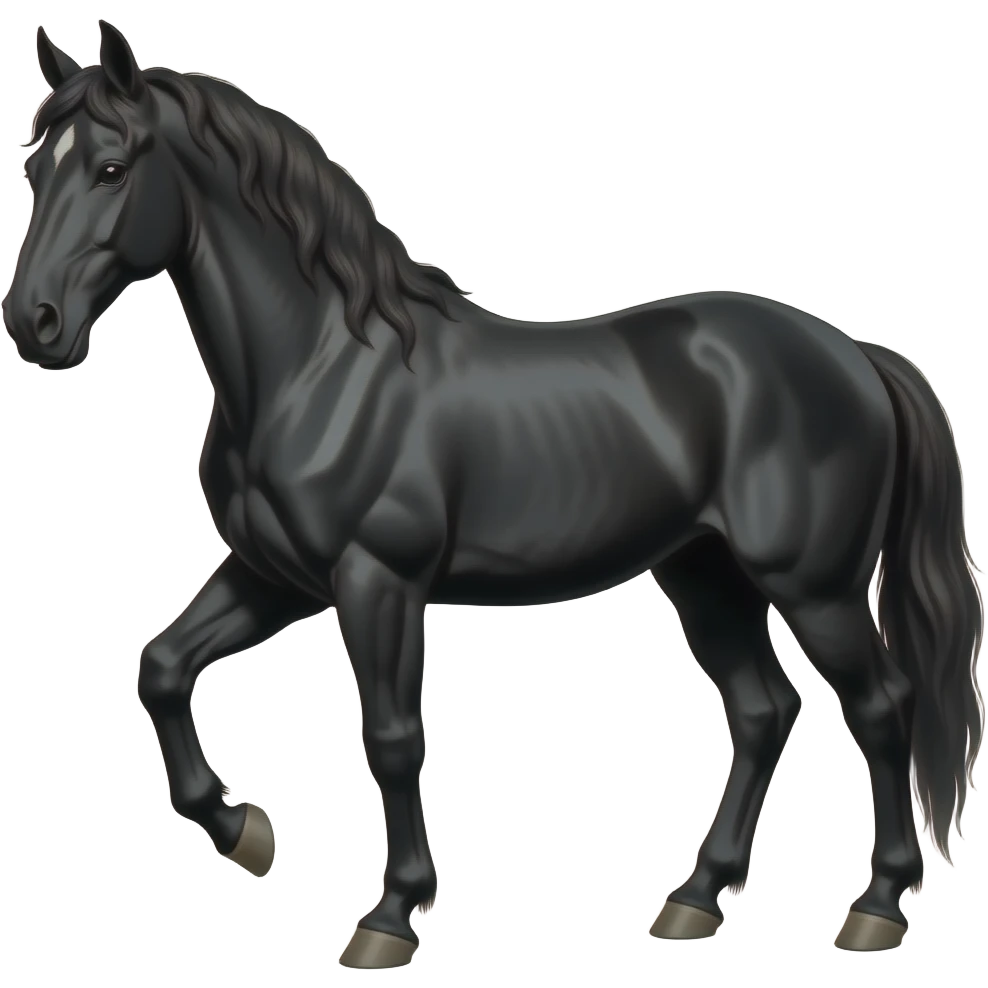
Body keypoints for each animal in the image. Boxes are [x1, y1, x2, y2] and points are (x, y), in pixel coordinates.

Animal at [4, 20, 983, 968]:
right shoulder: (275, 575)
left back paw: (876, 907)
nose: (33, 323)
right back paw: (695, 902)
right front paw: (246, 832)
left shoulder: (378, 581)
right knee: (763, 711)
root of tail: (856, 356)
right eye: (35, 167)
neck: (321, 364)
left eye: (112, 167)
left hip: (814, 588)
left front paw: (390, 916)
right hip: (707, 576)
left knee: (881, 707)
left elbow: (393, 739)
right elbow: (163, 668)